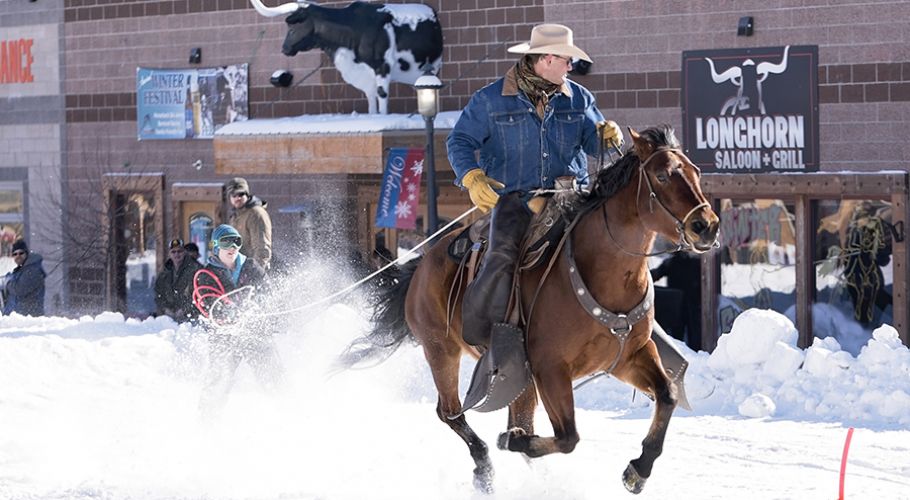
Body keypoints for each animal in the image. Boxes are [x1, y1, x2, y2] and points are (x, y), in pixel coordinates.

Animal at [250, 0, 443, 114]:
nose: (284, 48)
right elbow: (371, 98)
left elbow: (381, 94)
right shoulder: (366, 75)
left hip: (432, 68)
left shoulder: (382, 67)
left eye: (292, 27)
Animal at [342, 124, 720, 494]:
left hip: (514, 374)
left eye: (696, 172)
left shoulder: (629, 356)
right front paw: (513, 442)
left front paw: (638, 470)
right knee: (449, 412)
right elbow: (567, 436)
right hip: (440, 349)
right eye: (662, 175)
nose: (707, 225)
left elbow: (667, 395)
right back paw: (485, 466)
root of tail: (421, 264)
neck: (603, 273)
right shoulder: (550, 369)